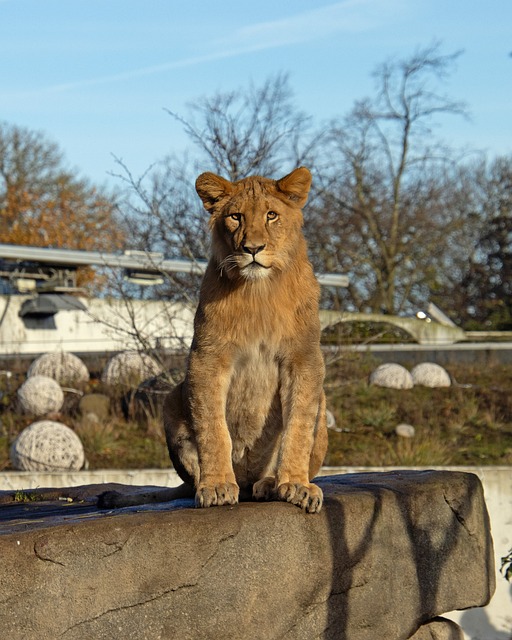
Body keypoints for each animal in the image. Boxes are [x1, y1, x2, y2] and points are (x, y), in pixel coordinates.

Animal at [98, 166, 328, 513]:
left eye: (271, 215)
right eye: (236, 217)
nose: (253, 248)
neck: (258, 291)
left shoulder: (303, 359)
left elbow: (298, 426)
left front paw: (296, 485)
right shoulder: (207, 358)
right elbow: (212, 428)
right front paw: (217, 485)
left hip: (323, 403)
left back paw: (269, 484)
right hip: (172, 398)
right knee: (195, 473)